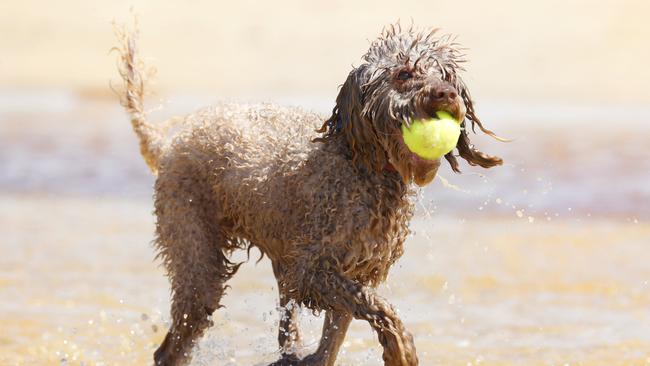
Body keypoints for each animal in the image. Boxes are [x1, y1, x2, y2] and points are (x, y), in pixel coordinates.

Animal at [115, 22, 502, 366]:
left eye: (446, 76)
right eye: (404, 74)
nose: (446, 95)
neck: (363, 167)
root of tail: (169, 145)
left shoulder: (354, 270)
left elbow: (337, 335)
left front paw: (320, 356)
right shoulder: (312, 272)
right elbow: (378, 307)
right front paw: (401, 349)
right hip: (197, 256)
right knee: (171, 346)